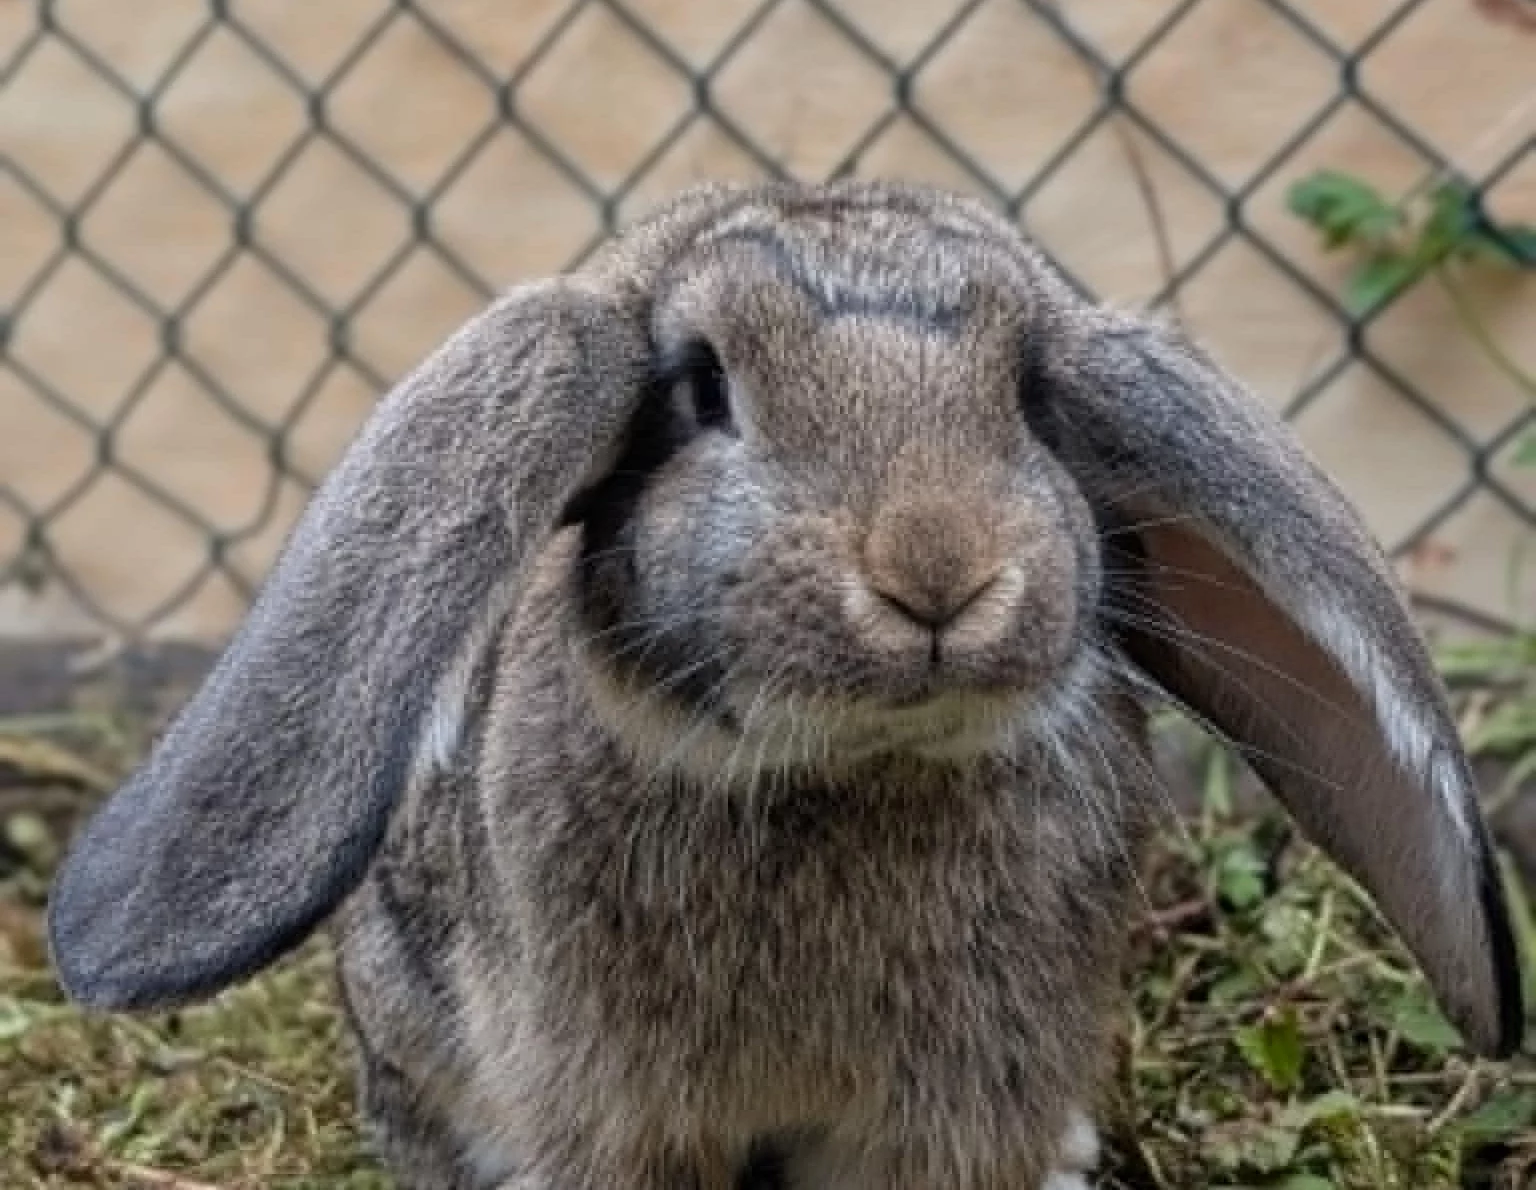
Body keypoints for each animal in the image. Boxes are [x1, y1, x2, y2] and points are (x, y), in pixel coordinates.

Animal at [48, 180, 1522, 1189]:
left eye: (1033, 400)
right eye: (703, 390)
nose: (937, 569)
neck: (849, 764)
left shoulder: (955, 1104)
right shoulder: (614, 1107)